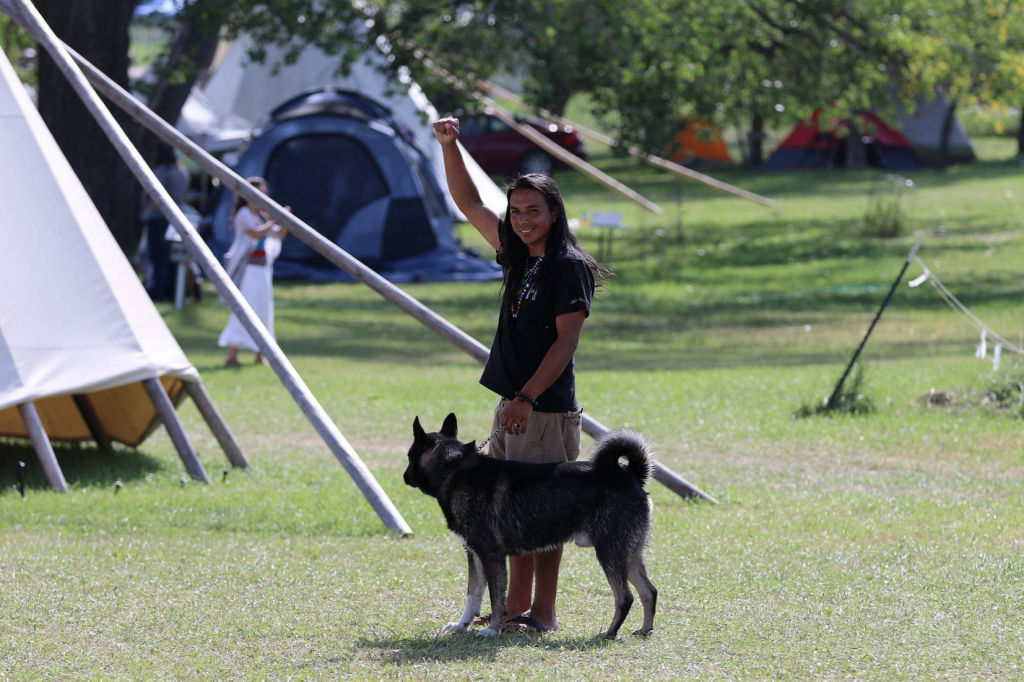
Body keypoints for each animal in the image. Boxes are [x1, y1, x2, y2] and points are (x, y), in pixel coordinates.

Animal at [399, 413, 655, 638]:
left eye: (410, 455)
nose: (404, 477)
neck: (455, 472)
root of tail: (630, 473)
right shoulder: (475, 555)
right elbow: (472, 596)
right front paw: (461, 625)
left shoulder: (491, 556)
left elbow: (496, 598)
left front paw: (493, 629)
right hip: (628, 555)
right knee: (649, 591)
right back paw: (645, 630)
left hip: (610, 553)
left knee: (625, 597)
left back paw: (609, 633)